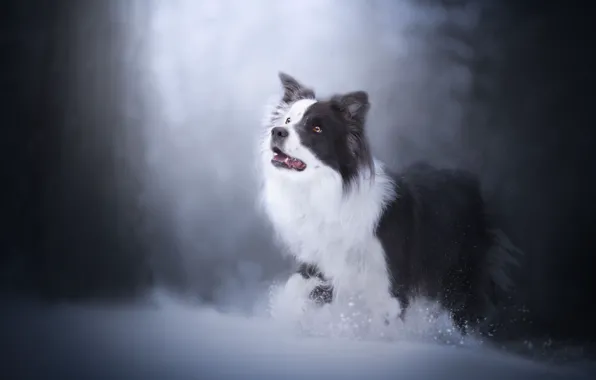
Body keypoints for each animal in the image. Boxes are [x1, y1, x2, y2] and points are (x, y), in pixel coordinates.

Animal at [258, 72, 520, 332]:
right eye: (288, 119)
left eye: (316, 128)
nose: (277, 131)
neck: (331, 192)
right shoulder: (319, 262)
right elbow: (298, 287)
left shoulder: (387, 281)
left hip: (462, 277)